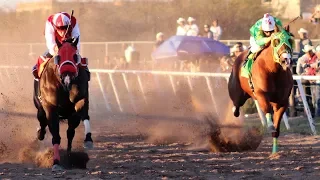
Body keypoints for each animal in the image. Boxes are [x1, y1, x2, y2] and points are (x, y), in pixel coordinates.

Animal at [33, 37, 92, 172]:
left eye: (75, 56)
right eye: (58, 57)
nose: (67, 76)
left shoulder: (80, 99)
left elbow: (84, 115)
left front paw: (88, 140)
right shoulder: (50, 108)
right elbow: (55, 135)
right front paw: (56, 162)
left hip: (72, 116)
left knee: (70, 133)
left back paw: (70, 156)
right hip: (40, 108)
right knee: (42, 122)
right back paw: (40, 134)